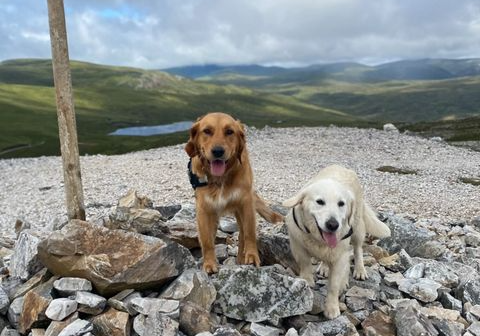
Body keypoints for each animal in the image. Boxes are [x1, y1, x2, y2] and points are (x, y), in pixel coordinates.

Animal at [184, 111, 282, 274]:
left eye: (229, 131)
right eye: (207, 131)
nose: (218, 151)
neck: (220, 179)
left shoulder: (245, 203)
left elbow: (249, 234)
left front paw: (251, 256)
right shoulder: (204, 209)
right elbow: (207, 240)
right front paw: (209, 263)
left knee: (242, 233)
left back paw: (242, 258)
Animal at [282, 165, 390, 318]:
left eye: (341, 204)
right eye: (320, 201)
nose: (333, 225)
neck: (317, 238)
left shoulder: (340, 255)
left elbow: (333, 284)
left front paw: (332, 308)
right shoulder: (297, 243)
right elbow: (305, 263)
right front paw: (307, 280)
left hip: (357, 229)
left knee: (357, 250)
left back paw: (359, 270)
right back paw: (325, 268)